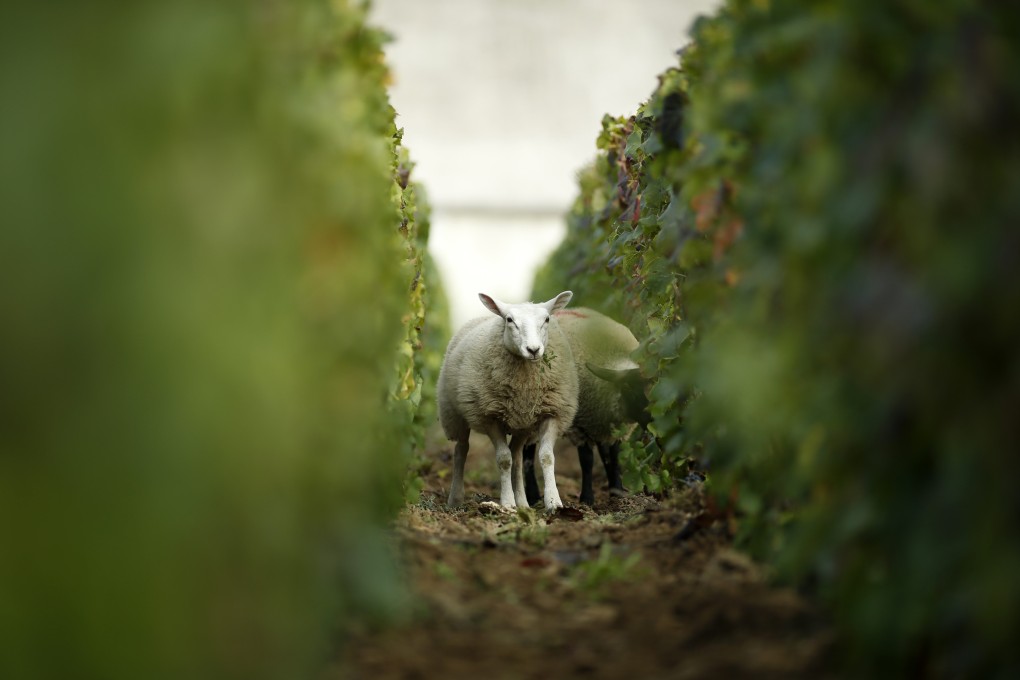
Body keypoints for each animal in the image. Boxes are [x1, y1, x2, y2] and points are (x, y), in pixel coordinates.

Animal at [437, 291, 579, 510]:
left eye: (547, 319)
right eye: (509, 320)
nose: (533, 349)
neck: (525, 388)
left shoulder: (551, 412)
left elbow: (546, 457)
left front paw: (553, 502)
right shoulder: (490, 416)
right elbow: (504, 459)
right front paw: (507, 503)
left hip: (522, 425)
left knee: (518, 458)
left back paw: (523, 503)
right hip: (455, 415)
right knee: (461, 450)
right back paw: (456, 499)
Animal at [522, 307, 650, 506]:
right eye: (627, 388)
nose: (650, 418)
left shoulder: (611, 427)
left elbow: (613, 456)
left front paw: (618, 492)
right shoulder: (580, 426)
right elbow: (587, 460)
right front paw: (587, 499)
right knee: (527, 454)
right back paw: (533, 496)